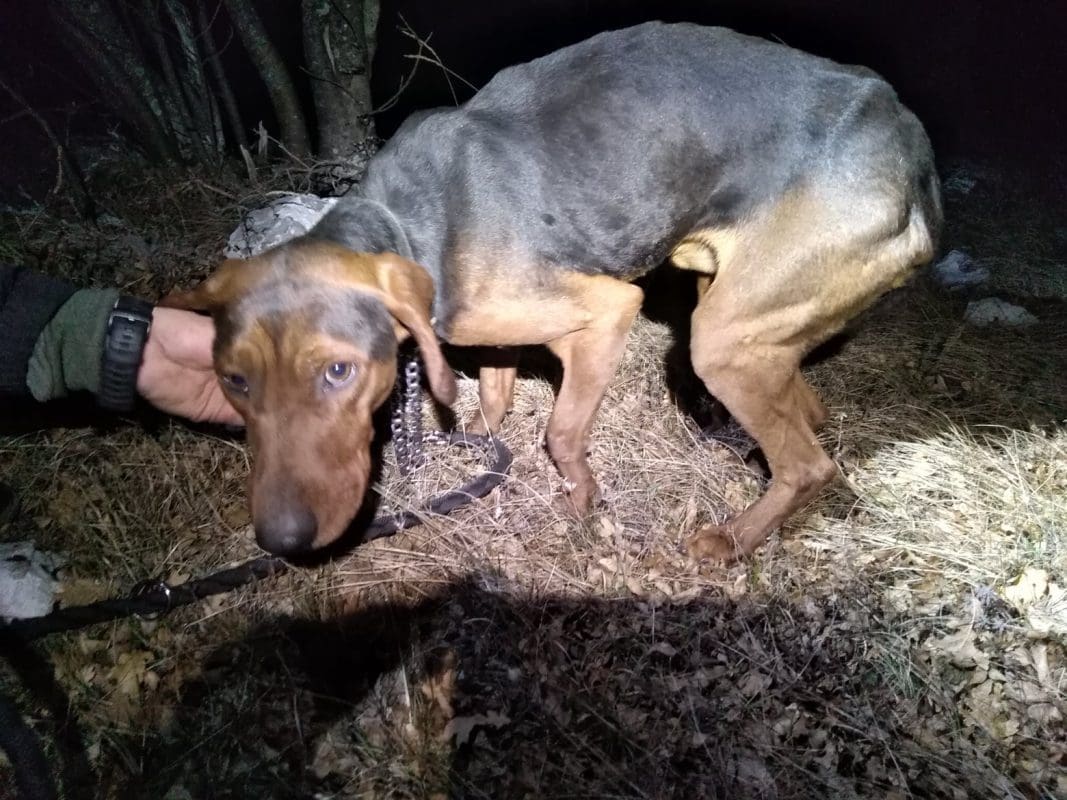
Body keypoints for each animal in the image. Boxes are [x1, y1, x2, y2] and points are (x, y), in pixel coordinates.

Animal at [163, 22, 942, 561]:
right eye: (234, 380)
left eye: (337, 372)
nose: (280, 542)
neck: (408, 220)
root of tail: (907, 139)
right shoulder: (493, 335)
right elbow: (495, 397)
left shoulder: (607, 313)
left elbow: (562, 432)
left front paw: (582, 503)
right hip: (746, 317)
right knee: (808, 415)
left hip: (720, 341)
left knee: (807, 463)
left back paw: (734, 539)